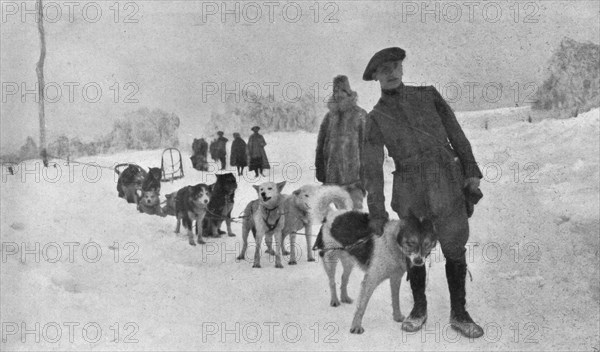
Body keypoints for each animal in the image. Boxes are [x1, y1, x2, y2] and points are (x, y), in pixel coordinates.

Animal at [312, 186, 438, 334]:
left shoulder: (395, 278)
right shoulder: (370, 281)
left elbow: (395, 300)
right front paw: (356, 326)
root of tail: (331, 214)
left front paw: (397, 316)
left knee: (344, 278)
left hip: (349, 262)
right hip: (330, 260)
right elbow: (362, 307)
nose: (418, 261)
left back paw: (344, 297)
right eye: (410, 243)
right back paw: (335, 300)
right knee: (332, 281)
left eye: (427, 244)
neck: (392, 245)